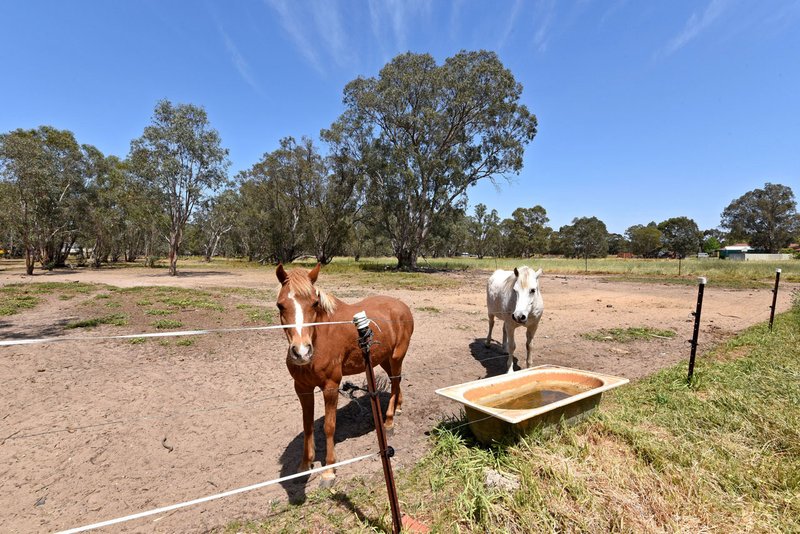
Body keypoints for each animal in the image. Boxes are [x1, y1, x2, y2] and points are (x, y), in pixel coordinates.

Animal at [276, 264, 412, 486]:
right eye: (280, 305)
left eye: (314, 303)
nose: (301, 352)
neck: (321, 335)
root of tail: (402, 306)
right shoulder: (302, 388)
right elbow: (307, 425)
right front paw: (304, 466)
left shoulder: (331, 386)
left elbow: (329, 427)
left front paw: (329, 471)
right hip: (383, 359)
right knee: (397, 381)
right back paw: (399, 407)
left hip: (396, 356)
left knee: (394, 383)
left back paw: (389, 421)